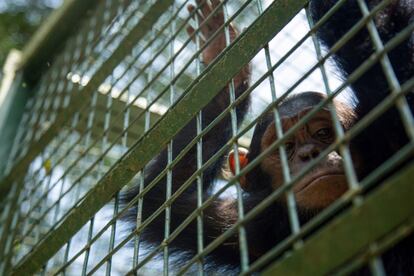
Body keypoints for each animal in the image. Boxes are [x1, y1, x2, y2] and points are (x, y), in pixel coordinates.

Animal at [121, 0, 412, 272]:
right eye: (287, 147)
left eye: (323, 132)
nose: (308, 153)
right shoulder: (244, 226)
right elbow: (164, 206)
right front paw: (222, 61)